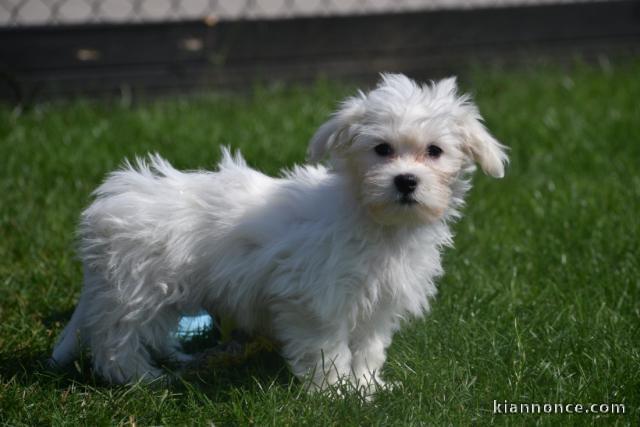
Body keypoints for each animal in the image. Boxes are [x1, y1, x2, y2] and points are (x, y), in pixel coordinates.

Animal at [50, 73, 508, 392]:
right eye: (381, 150)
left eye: (434, 151)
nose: (406, 181)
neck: (376, 223)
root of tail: (106, 208)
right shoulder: (317, 299)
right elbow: (327, 348)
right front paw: (335, 393)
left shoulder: (377, 303)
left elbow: (368, 347)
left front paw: (367, 387)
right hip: (137, 289)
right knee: (117, 340)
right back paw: (142, 379)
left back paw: (175, 359)